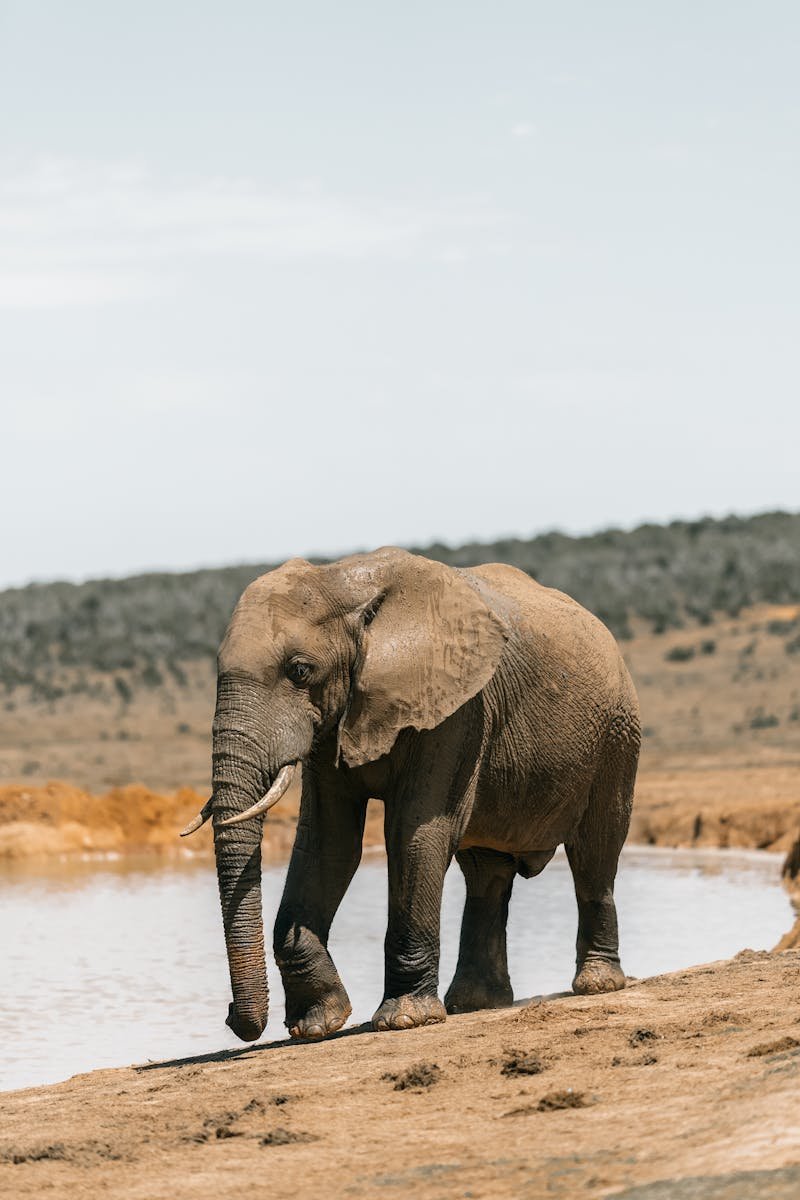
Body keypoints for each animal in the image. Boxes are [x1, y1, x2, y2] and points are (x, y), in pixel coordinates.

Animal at [182, 547, 640, 1043]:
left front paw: (404, 1020)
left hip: (617, 735)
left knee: (595, 853)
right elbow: (328, 844)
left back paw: (596, 984)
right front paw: (317, 1026)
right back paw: (474, 1003)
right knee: (487, 874)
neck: (341, 580)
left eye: (299, 671)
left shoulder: (457, 710)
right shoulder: (336, 722)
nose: (232, 1018)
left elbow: (414, 834)